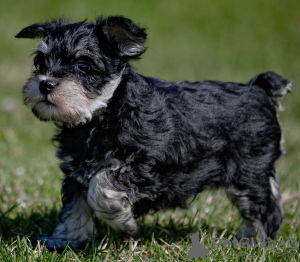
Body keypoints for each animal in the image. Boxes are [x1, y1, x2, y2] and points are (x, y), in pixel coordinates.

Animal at [15, 15, 292, 250]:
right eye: (40, 62)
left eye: (83, 65)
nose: (45, 84)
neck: (106, 111)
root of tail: (259, 89)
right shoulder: (75, 171)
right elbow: (75, 207)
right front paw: (64, 240)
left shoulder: (148, 167)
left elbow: (101, 187)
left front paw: (124, 223)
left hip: (248, 171)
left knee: (263, 209)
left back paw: (251, 242)